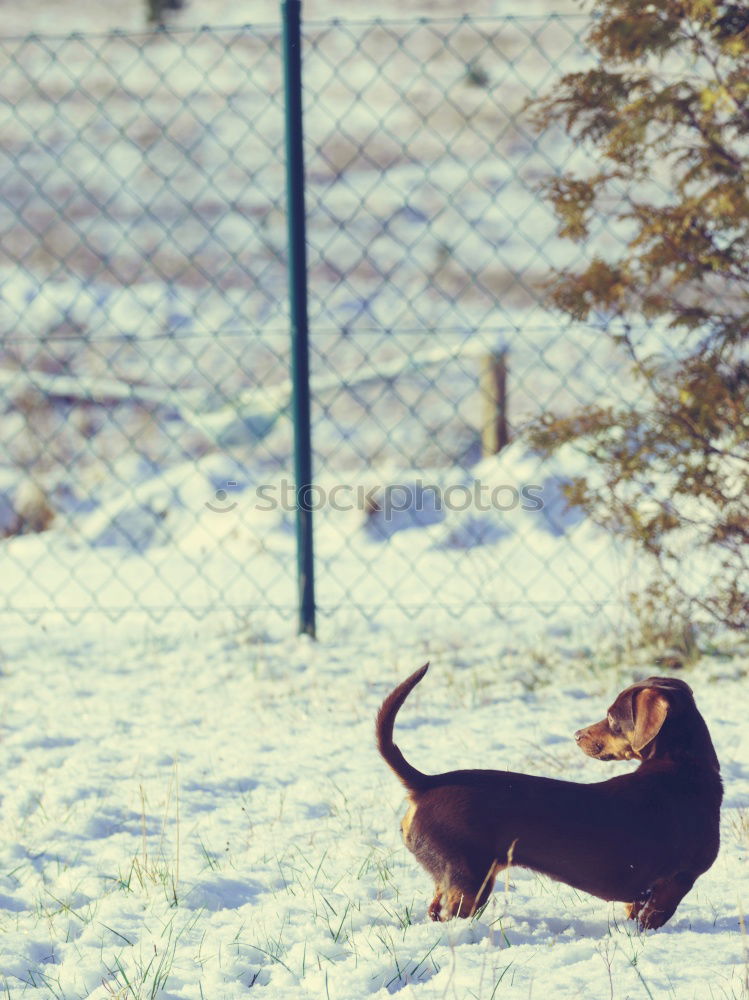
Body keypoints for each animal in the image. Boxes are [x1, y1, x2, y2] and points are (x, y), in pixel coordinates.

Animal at [376, 664, 720, 928]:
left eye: (612, 719)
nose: (576, 735)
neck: (682, 767)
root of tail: (425, 783)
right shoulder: (678, 880)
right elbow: (652, 919)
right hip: (470, 881)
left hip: (453, 879)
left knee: (434, 911)